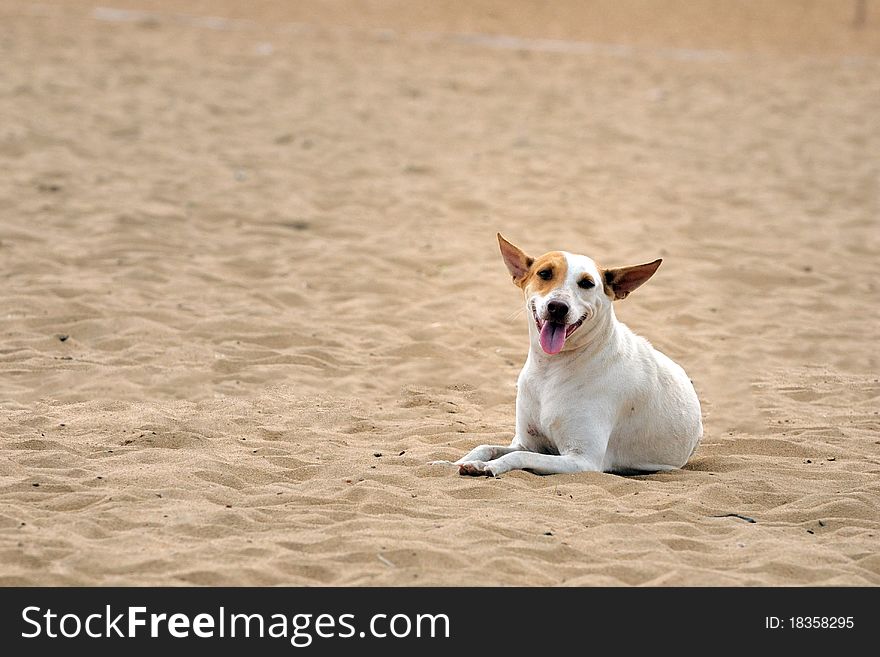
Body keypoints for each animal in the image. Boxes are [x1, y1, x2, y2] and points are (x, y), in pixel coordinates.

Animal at [446, 236, 700, 476]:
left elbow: (518, 457)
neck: (550, 369)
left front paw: (489, 467)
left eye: (587, 283)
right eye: (544, 273)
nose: (558, 307)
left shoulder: (582, 459)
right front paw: (453, 462)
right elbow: (485, 446)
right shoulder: (527, 443)